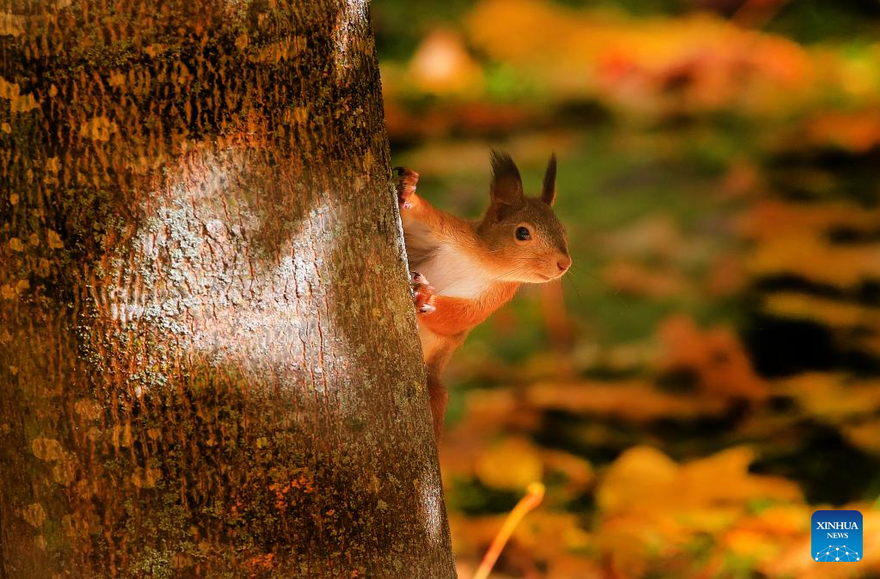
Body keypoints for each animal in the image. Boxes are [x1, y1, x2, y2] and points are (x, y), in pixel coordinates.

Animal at [394, 152, 572, 438]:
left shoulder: (493, 297)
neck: (481, 262)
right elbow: (416, 218)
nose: (564, 263)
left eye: (562, 230)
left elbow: (459, 318)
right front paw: (408, 191)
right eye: (522, 233)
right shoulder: (443, 232)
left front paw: (427, 298)